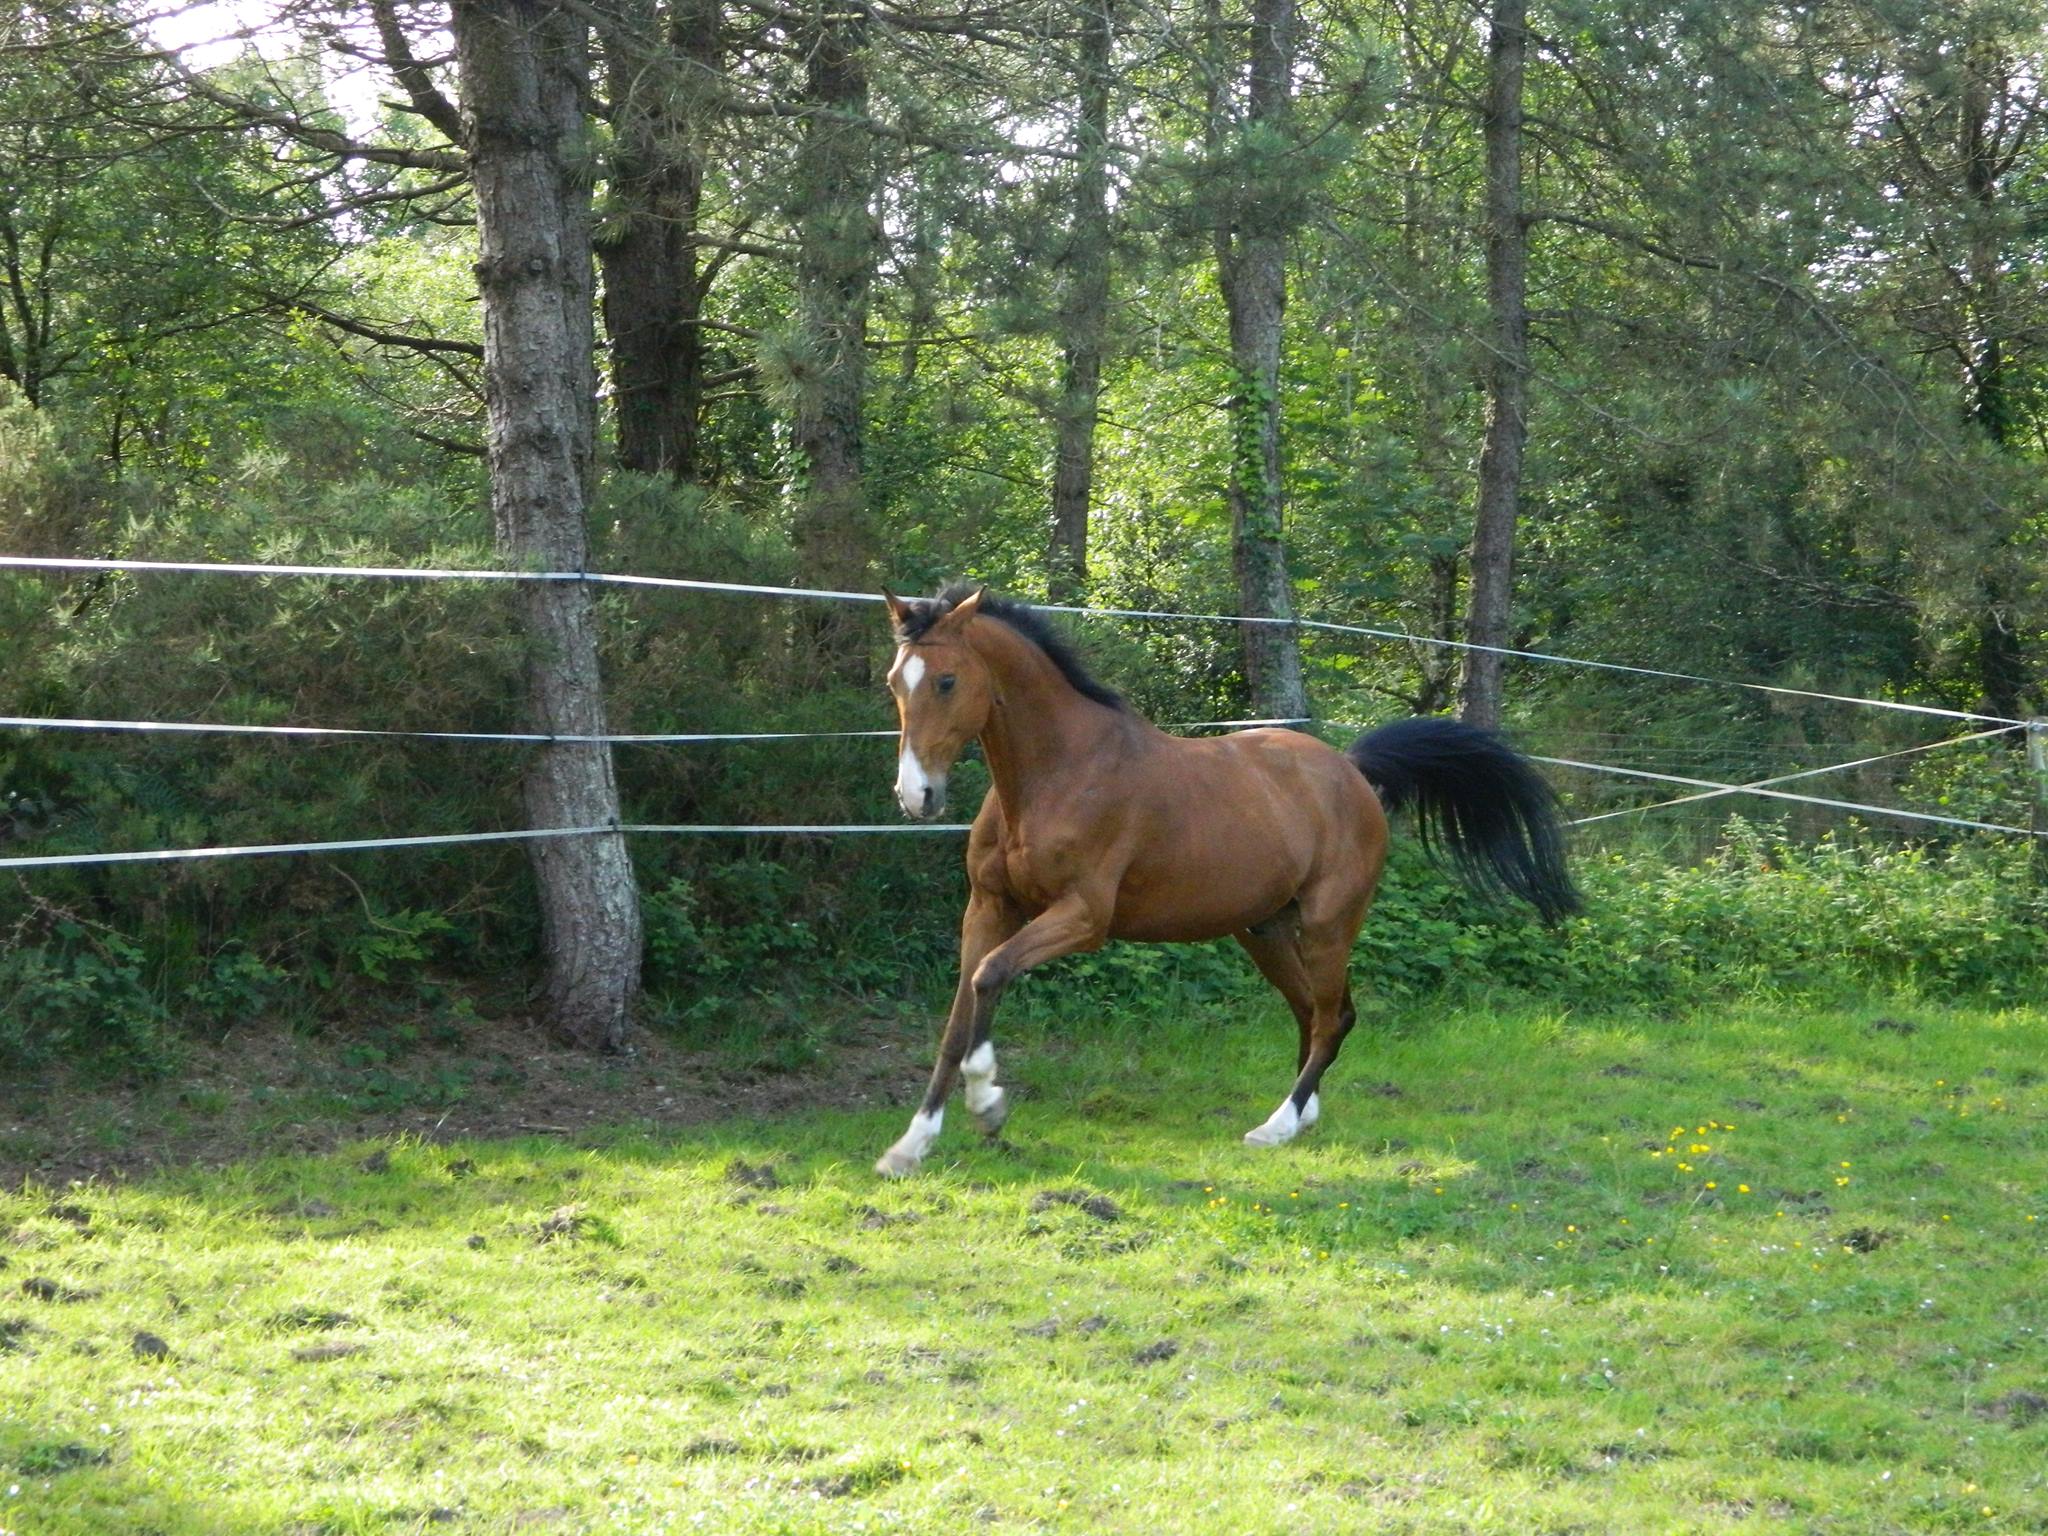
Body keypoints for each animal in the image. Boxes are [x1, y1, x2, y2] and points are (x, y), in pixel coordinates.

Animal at [873, 583, 1578, 1177]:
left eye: (946, 680)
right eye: (894, 682)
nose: (917, 796)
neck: (1060, 775)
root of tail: (1351, 771)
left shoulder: (1083, 919)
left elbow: (990, 977)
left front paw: (989, 1104)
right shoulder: (989, 908)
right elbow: (960, 1014)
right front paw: (911, 1146)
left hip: (1328, 924)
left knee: (1331, 1018)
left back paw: (1277, 1126)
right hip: (1264, 931)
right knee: (1317, 1013)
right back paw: (1302, 1115)